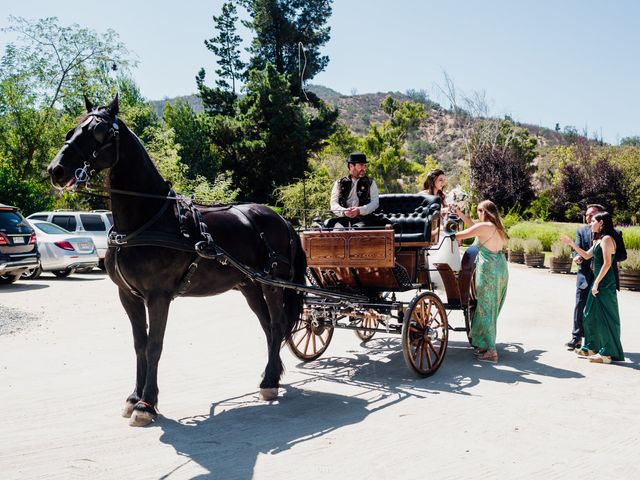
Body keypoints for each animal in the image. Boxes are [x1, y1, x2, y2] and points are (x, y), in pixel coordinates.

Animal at [46, 95, 306, 426]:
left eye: (101, 132)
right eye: (74, 128)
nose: (56, 170)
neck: (146, 219)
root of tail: (281, 219)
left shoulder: (158, 296)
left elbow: (154, 345)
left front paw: (146, 404)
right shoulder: (128, 296)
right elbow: (139, 345)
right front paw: (134, 397)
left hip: (273, 284)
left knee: (277, 324)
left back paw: (270, 381)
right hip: (249, 285)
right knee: (268, 326)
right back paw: (270, 376)